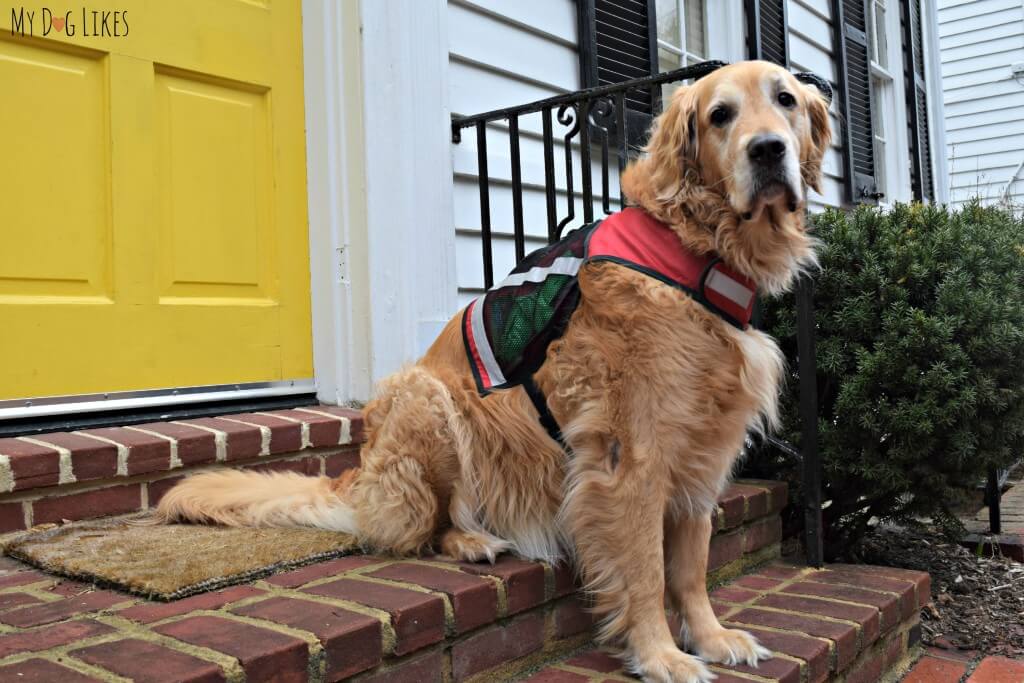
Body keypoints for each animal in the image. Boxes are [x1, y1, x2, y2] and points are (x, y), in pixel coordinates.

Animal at [157, 61, 831, 679]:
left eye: (786, 101)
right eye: (720, 115)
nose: (767, 150)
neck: (697, 249)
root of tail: (359, 474)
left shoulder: (702, 445)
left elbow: (691, 566)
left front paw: (713, 638)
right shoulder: (631, 456)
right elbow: (643, 568)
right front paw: (660, 655)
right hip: (431, 400)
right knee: (423, 526)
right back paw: (471, 539)